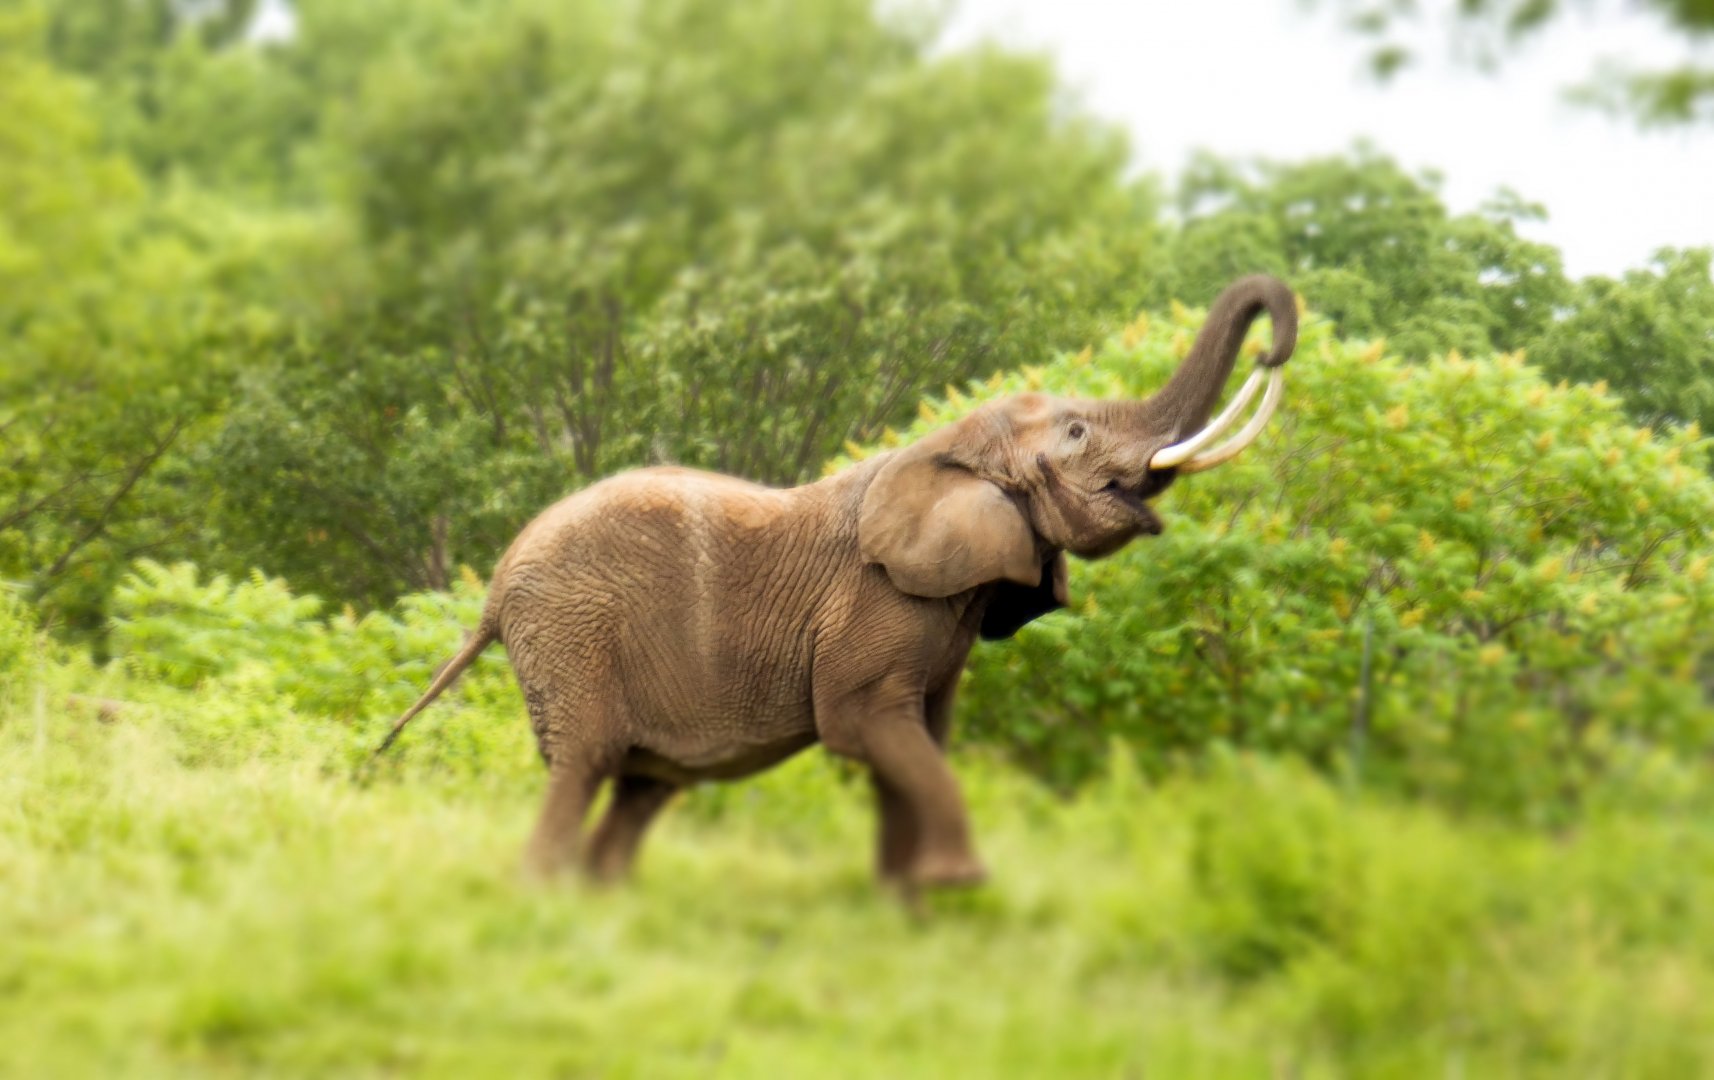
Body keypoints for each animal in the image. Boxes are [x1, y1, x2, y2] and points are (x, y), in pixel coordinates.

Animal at [375, 274, 1298, 891]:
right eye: (1074, 432)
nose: (1272, 344)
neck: (946, 446)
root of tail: (496, 589)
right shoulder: (877, 601)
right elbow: (871, 729)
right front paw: (954, 888)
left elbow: (920, 740)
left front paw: (903, 906)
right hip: (573, 634)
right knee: (585, 765)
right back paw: (548, 899)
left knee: (642, 785)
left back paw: (608, 901)